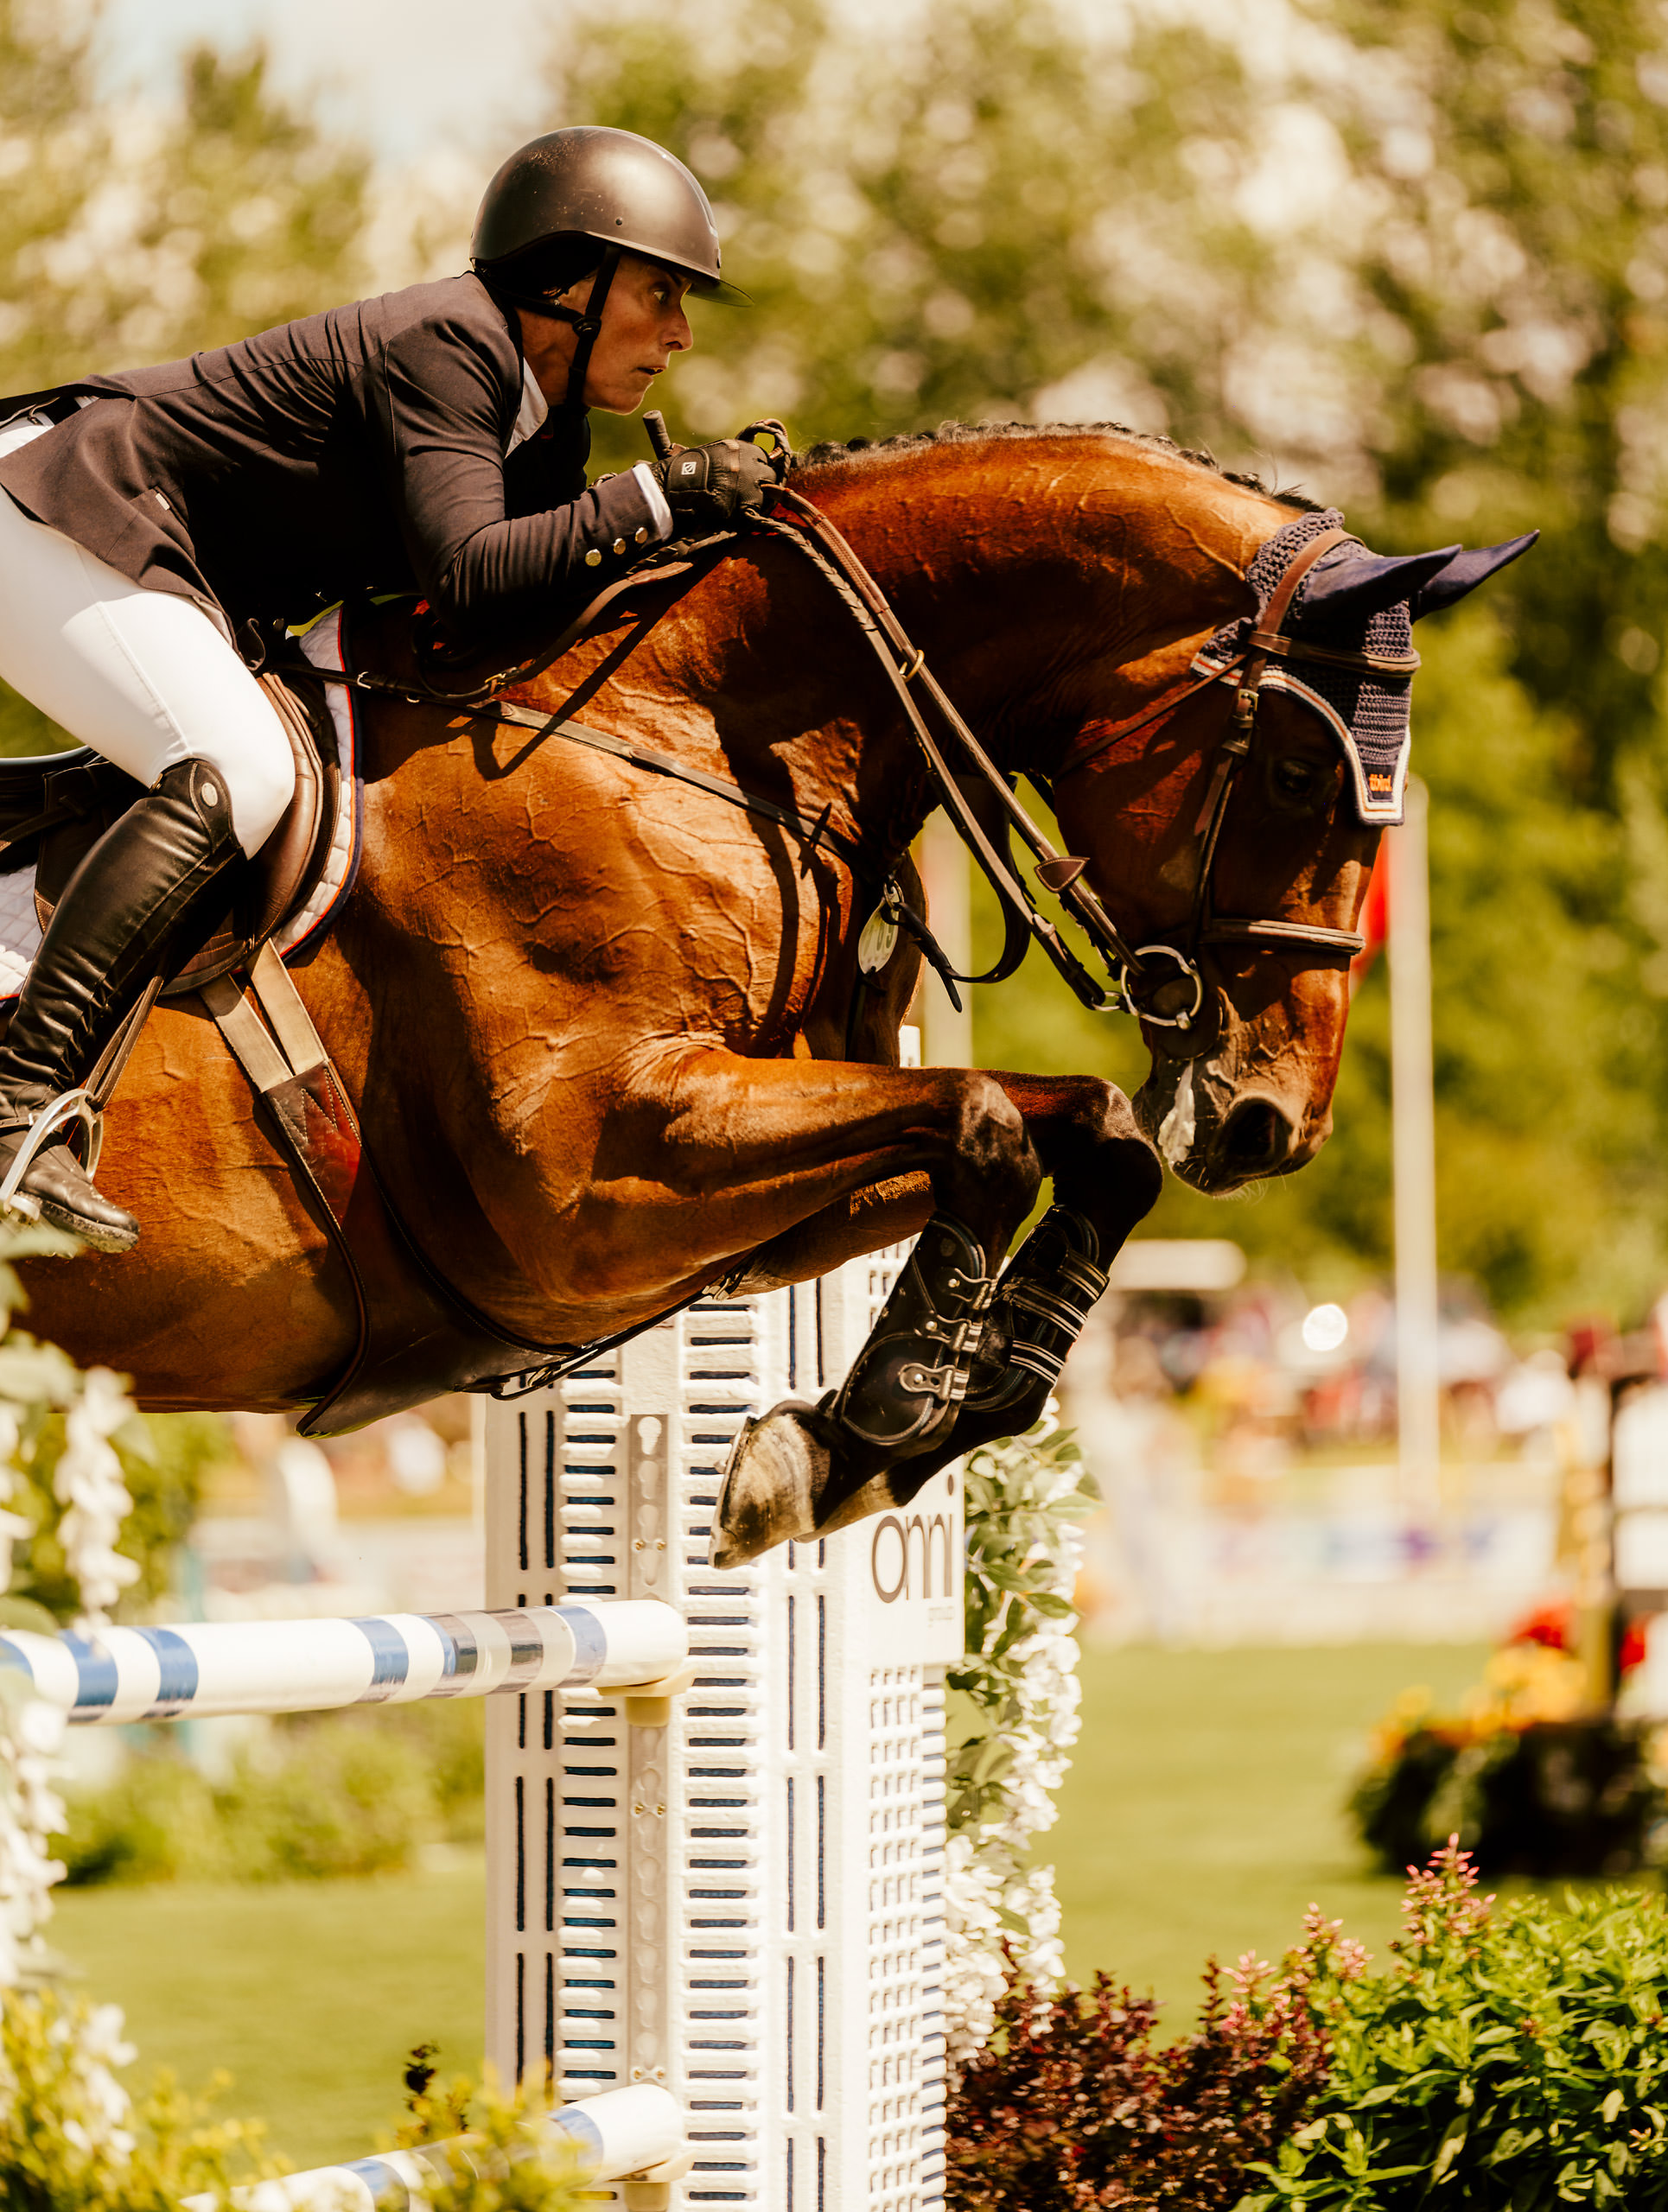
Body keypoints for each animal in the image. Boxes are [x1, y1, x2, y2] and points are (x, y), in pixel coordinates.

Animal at [10, 416, 1522, 1557]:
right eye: (1298, 777)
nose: (1275, 1123)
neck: (685, 718)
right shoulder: (582, 1187)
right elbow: (987, 1119)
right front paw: (875, 1422)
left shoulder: (731, 1192)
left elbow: (1087, 1132)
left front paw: (882, 1434)